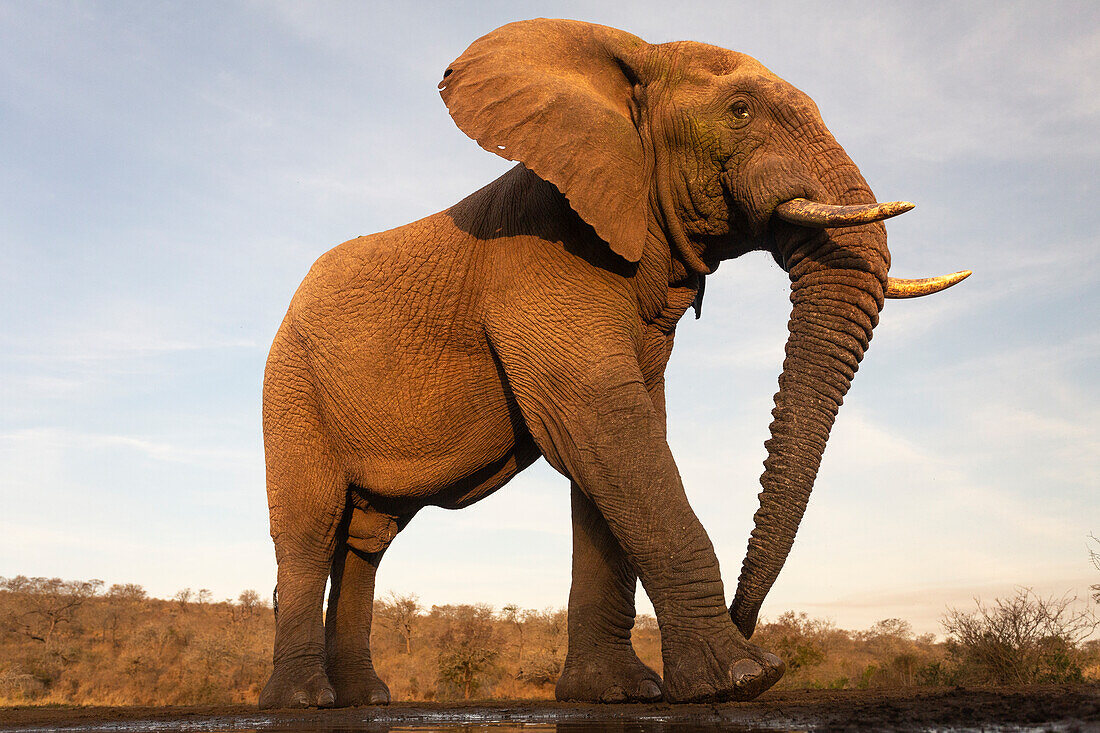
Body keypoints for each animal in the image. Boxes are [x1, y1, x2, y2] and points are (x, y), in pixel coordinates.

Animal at [255, 18, 963, 708]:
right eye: (739, 111)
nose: (748, 620)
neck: (633, 63)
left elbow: (615, 439)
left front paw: (619, 693)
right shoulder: (544, 257)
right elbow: (603, 423)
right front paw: (741, 680)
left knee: (364, 540)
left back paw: (363, 700)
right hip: (290, 383)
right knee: (310, 529)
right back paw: (302, 701)